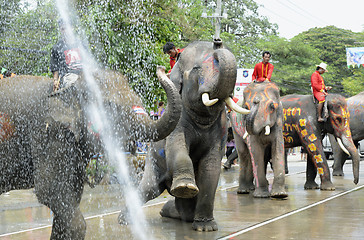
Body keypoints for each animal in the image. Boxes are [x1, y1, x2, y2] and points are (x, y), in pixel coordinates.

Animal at [0, 66, 181, 240]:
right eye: (110, 106)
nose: (161, 68)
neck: (68, 88)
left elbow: (71, 195)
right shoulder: (48, 134)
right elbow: (50, 190)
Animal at [119, 40, 250, 232]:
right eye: (196, 68)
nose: (218, 42)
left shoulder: (221, 128)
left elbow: (211, 166)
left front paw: (205, 228)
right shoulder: (178, 121)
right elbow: (177, 146)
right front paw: (185, 187)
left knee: (185, 209)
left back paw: (168, 211)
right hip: (153, 162)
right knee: (149, 189)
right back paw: (125, 220)